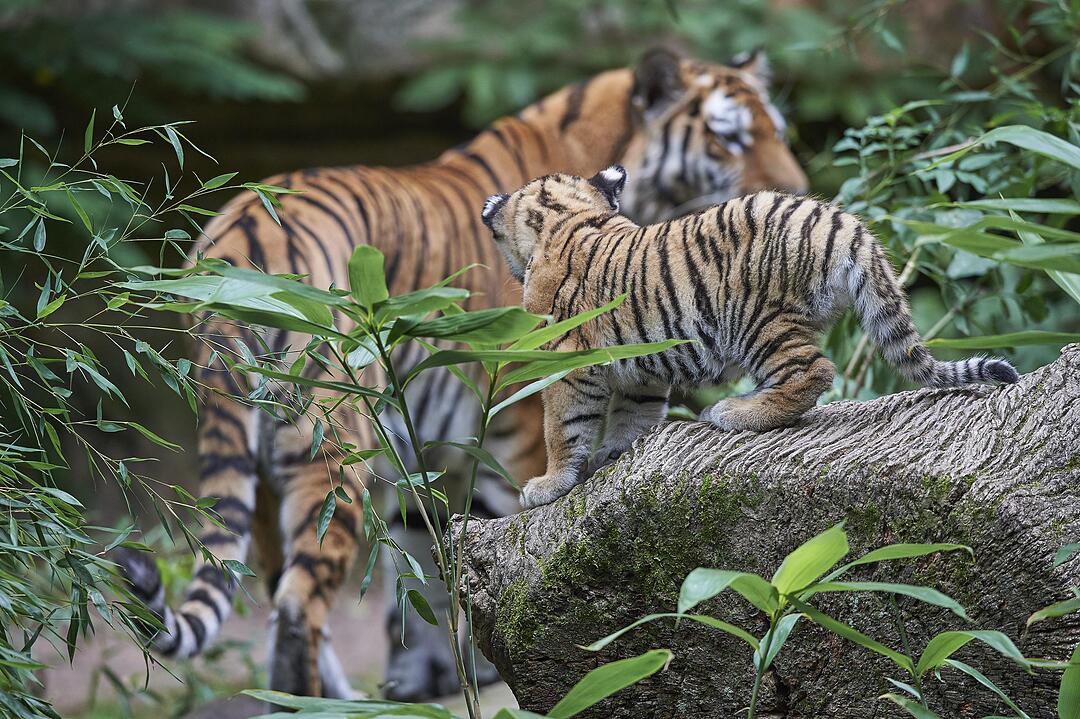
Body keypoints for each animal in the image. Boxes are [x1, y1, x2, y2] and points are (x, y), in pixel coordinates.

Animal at [115, 48, 809, 701]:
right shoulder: (519, 415)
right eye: (730, 138)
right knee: (297, 600)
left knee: (270, 583)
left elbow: (428, 569)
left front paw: (427, 674)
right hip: (334, 443)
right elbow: (515, 532)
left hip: (262, 460)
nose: (799, 188)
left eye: (778, 131)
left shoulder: (421, 449)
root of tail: (235, 242)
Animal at [480, 166, 1020, 509]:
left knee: (813, 372)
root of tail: (838, 221)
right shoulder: (642, 369)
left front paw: (547, 485)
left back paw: (733, 413)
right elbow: (634, 414)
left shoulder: (566, 363)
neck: (565, 217)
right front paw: (613, 454)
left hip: (755, 320)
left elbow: (561, 427)